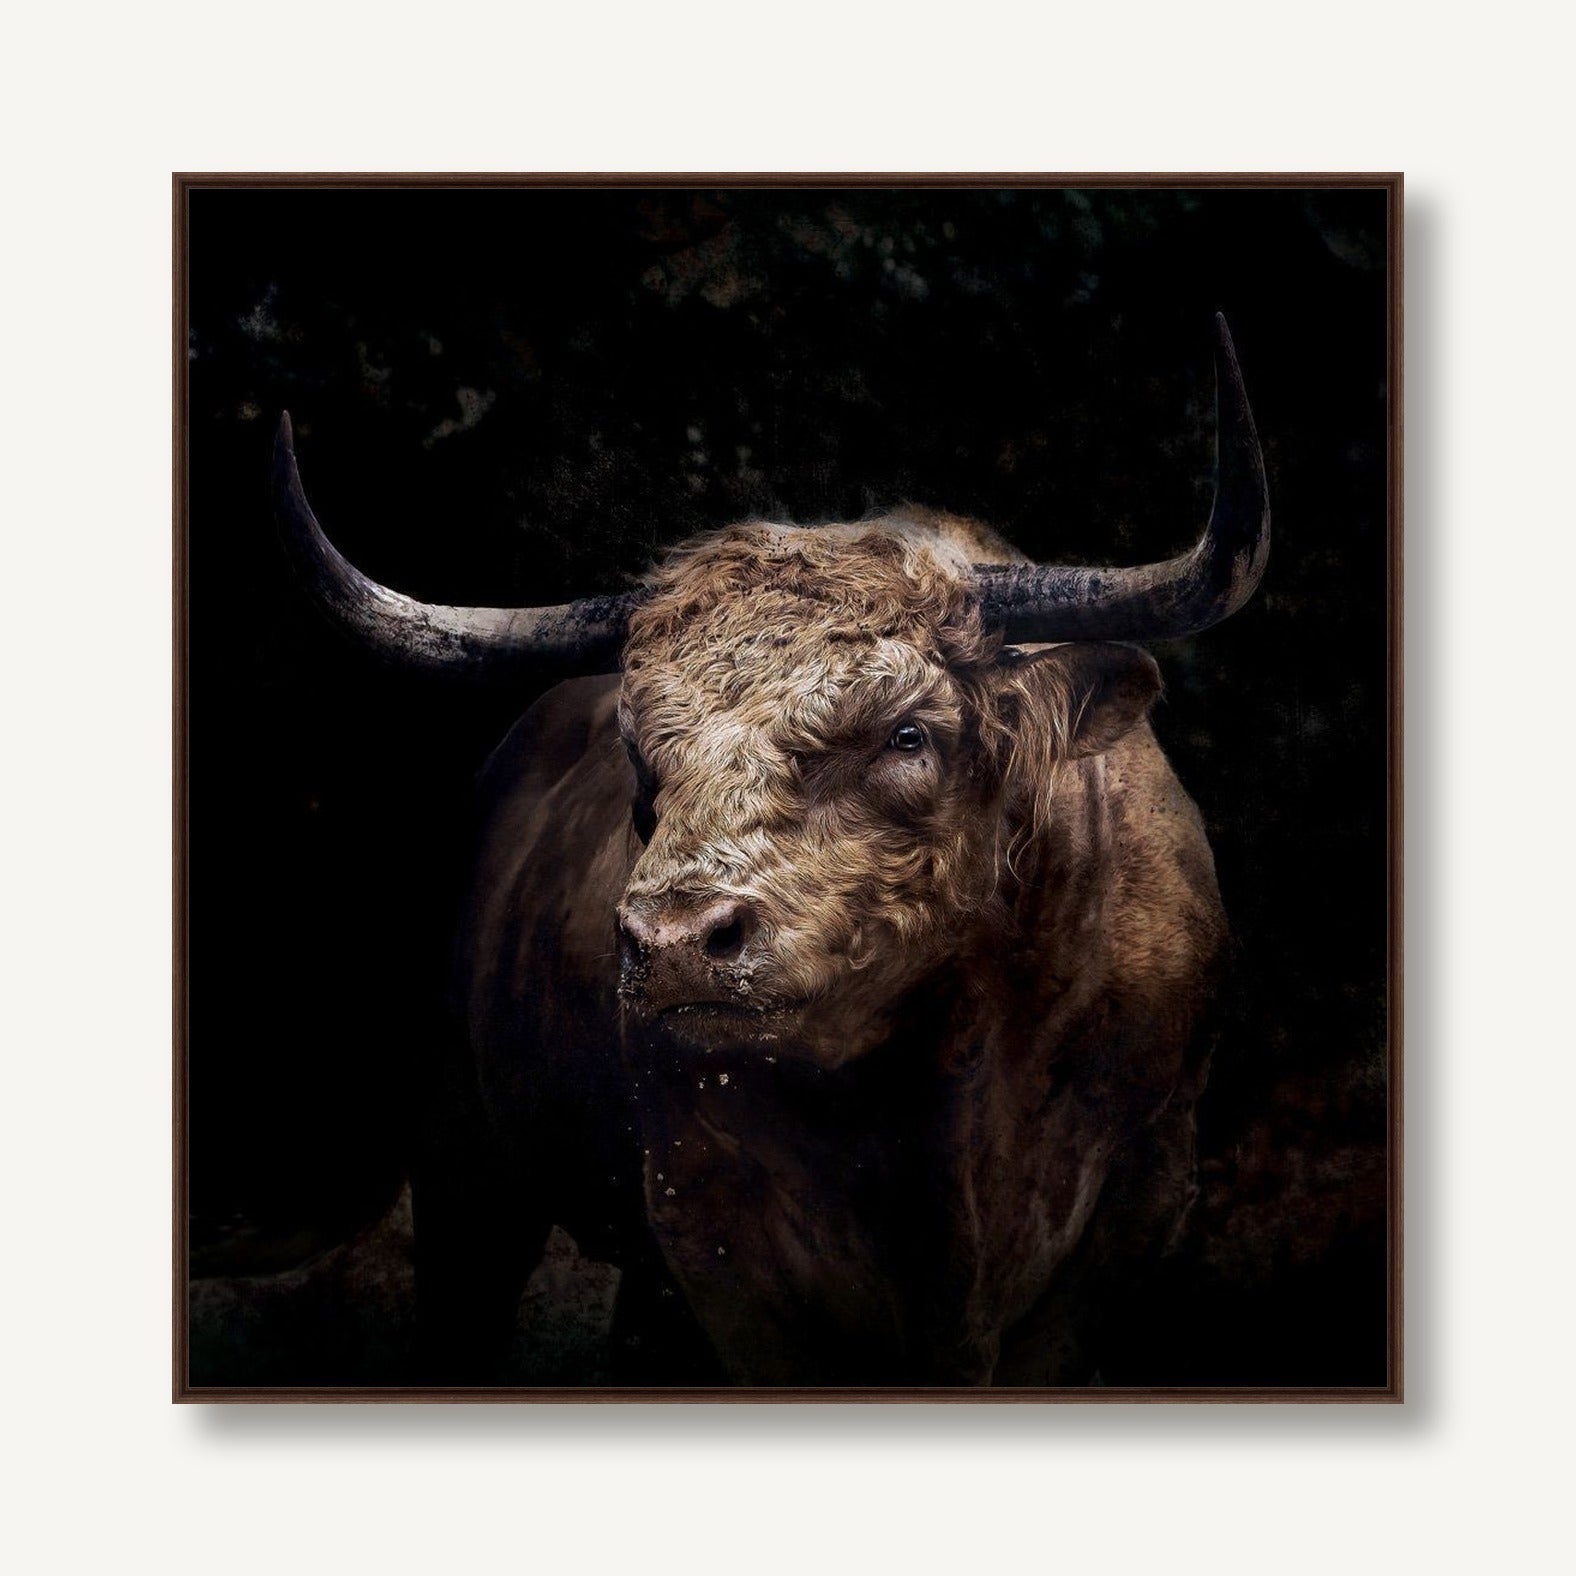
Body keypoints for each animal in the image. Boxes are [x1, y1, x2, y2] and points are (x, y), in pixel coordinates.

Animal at [271, 314, 1269, 1386]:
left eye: (908, 734)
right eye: (641, 754)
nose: (673, 945)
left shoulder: (1140, 1200)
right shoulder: (716, 1236)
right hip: (466, 1166)